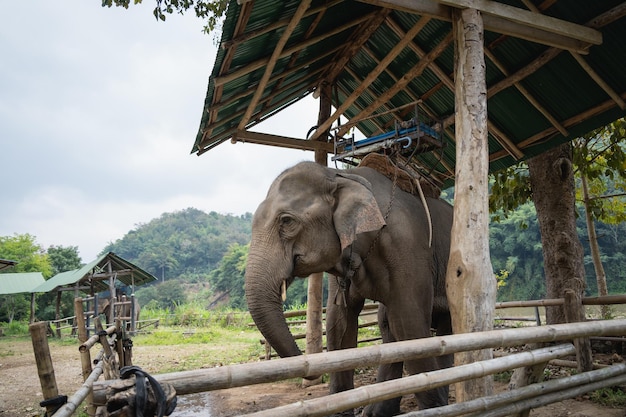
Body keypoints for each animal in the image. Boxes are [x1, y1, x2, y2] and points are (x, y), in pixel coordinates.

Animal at [241, 160, 450, 416]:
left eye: (287, 221)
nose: (308, 372)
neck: (341, 176)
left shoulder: (407, 247)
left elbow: (409, 325)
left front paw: (437, 407)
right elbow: (338, 323)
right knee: (388, 323)